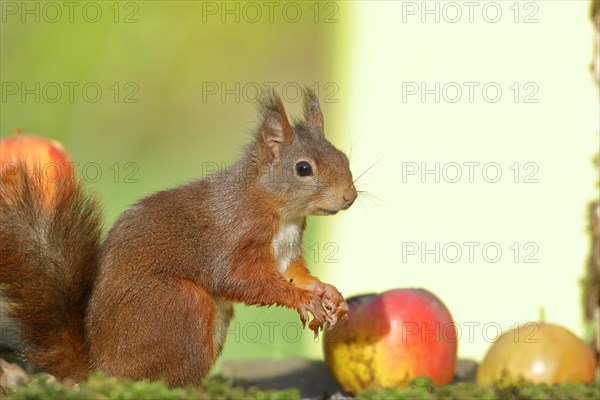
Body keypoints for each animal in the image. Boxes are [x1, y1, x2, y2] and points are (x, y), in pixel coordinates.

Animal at [0, 90, 356, 388]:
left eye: (343, 158)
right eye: (303, 168)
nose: (349, 197)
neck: (280, 213)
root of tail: (100, 368)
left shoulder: (285, 251)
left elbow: (294, 275)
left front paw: (327, 292)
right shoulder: (232, 238)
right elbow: (239, 280)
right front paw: (302, 299)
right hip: (178, 305)